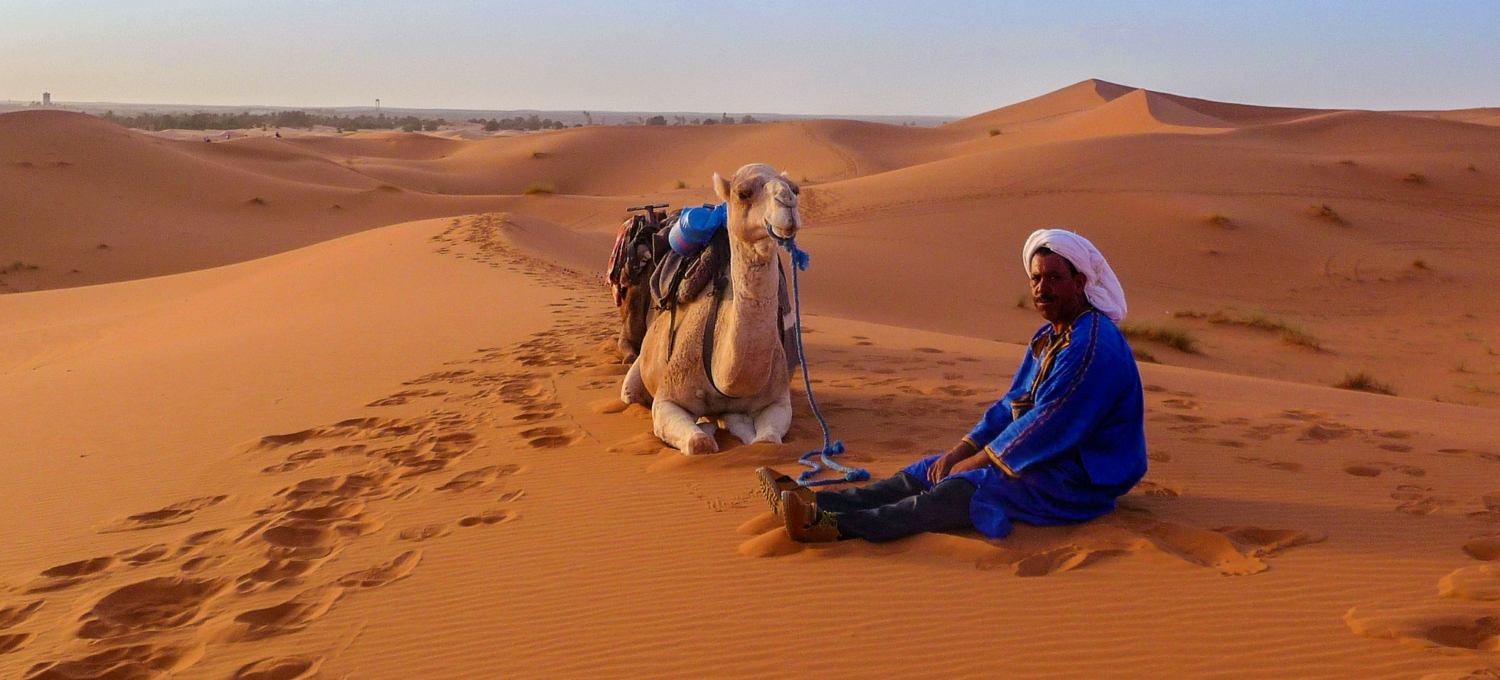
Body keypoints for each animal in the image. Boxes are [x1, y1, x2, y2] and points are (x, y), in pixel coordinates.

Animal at [621, 161, 804, 453]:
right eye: (743, 193)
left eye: (796, 189)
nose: (787, 201)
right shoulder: (667, 397)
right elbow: (699, 443)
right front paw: (707, 430)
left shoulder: (777, 400)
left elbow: (767, 440)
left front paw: (735, 427)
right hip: (635, 376)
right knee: (630, 392)